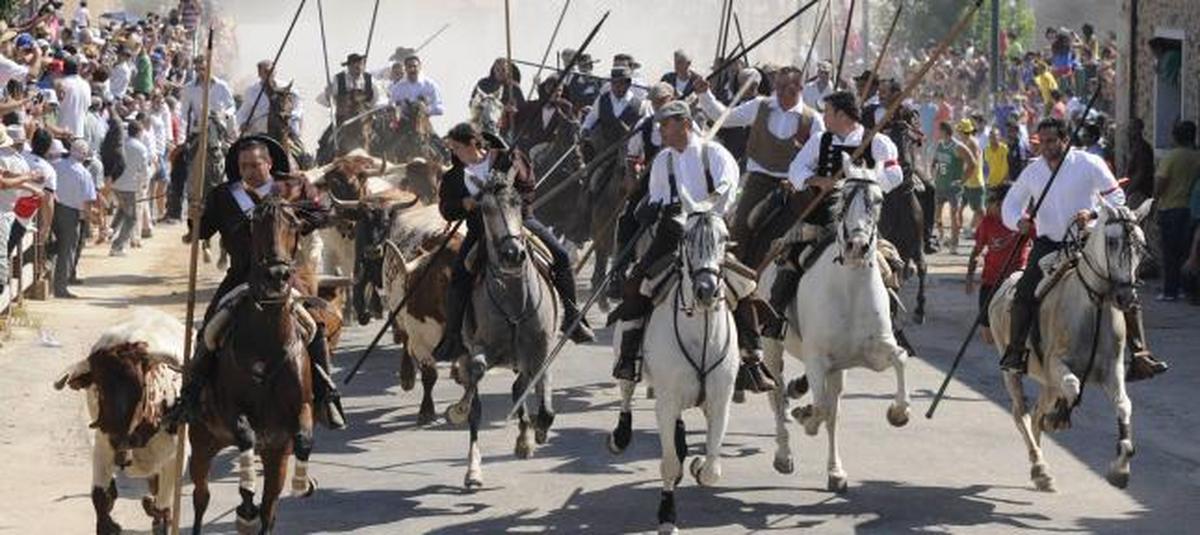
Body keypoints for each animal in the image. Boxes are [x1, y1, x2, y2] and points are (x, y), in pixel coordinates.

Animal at [53, 309, 184, 535]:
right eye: (99, 387)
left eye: (141, 387)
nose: (120, 440)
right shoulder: (103, 445)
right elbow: (101, 498)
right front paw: (110, 524)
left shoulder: (175, 459)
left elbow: (163, 510)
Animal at [189, 195, 319, 535]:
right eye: (254, 225)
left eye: (295, 224)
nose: (277, 275)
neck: (267, 341)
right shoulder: (231, 411)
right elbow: (246, 435)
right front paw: (245, 505)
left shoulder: (296, 416)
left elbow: (304, 439)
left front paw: (302, 484)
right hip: (203, 441)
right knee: (200, 496)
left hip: (274, 455)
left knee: (270, 506)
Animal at [614, 189, 734, 535]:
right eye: (686, 238)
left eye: (725, 238)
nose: (706, 291)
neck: (701, 334)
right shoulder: (665, 402)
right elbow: (667, 463)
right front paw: (667, 515)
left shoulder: (720, 400)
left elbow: (712, 469)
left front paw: (696, 466)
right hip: (625, 359)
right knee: (626, 390)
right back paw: (620, 436)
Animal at [768, 154, 907, 494]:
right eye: (842, 197)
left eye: (878, 199)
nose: (857, 246)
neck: (850, 289)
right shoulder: (817, 359)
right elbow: (819, 408)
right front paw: (804, 416)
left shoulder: (873, 352)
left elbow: (900, 359)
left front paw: (898, 412)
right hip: (772, 345)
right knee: (776, 393)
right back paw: (783, 454)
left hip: (838, 369)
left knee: (830, 410)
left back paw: (834, 470)